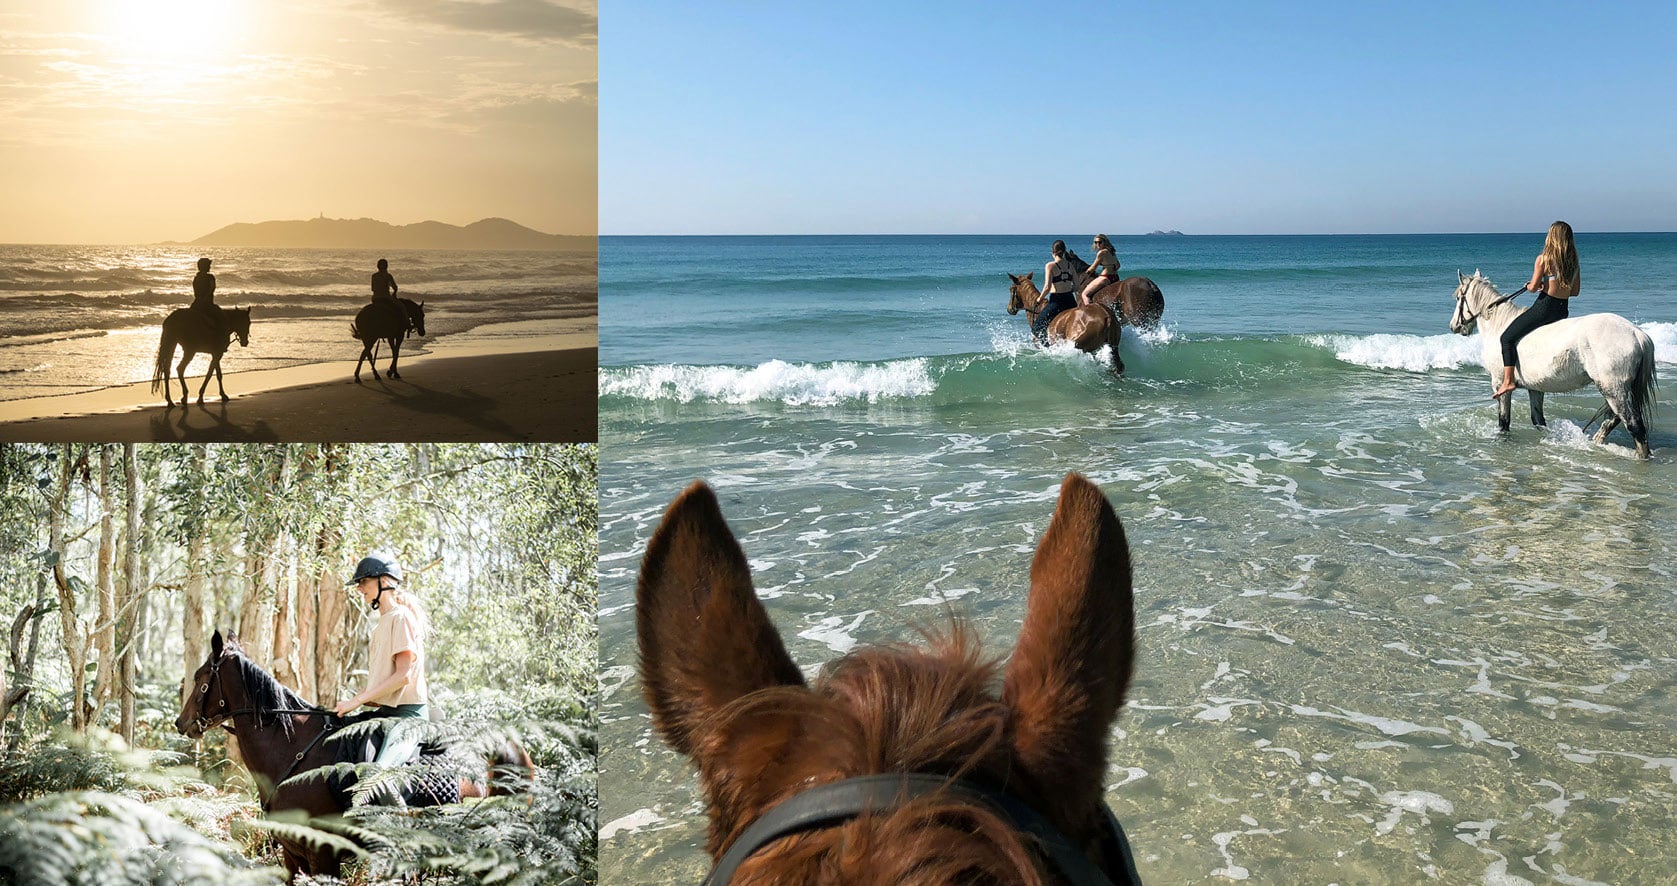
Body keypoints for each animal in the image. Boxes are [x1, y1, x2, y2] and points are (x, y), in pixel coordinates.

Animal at [1449, 270, 1656, 459]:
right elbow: (1538, 421)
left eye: (1459, 297)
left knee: (1634, 426)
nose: (1454, 326)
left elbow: (1504, 422)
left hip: (1613, 388)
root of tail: (1637, 334)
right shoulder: (1535, 388)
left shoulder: (1500, 385)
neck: (1498, 325)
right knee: (1613, 420)